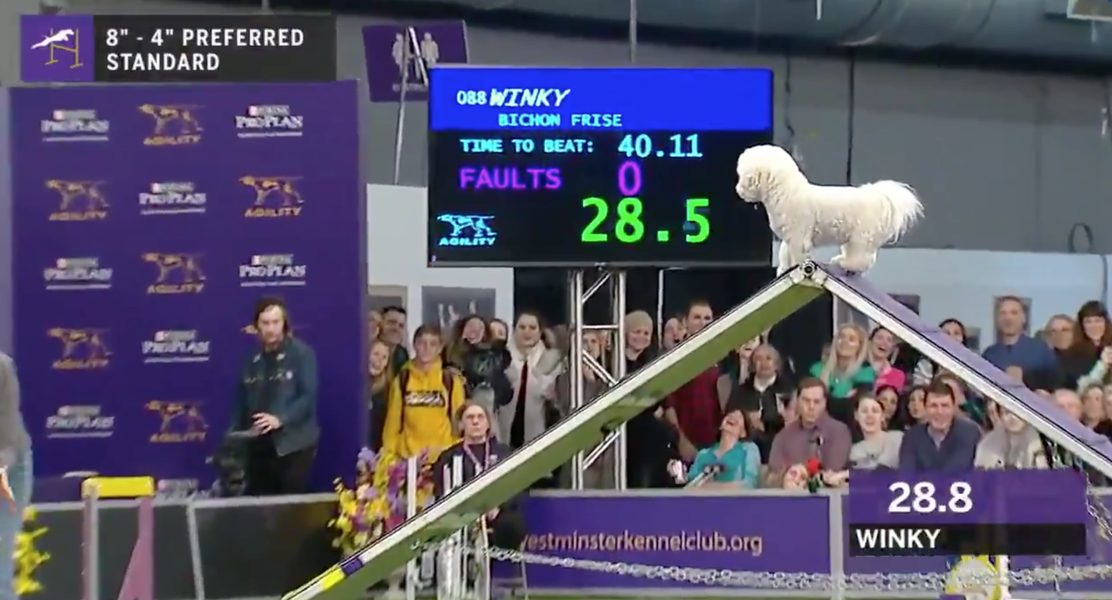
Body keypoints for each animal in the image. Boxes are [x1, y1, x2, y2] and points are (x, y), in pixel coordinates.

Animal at [733, 145, 925, 276]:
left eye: (743, 176)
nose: (738, 190)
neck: (785, 191)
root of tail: (879, 198)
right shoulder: (789, 237)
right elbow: (785, 254)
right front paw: (784, 269)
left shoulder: (798, 235)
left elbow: (797, 255)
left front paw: (794, 268)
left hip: (862, 236)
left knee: (862, 258)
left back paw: (846, 264)